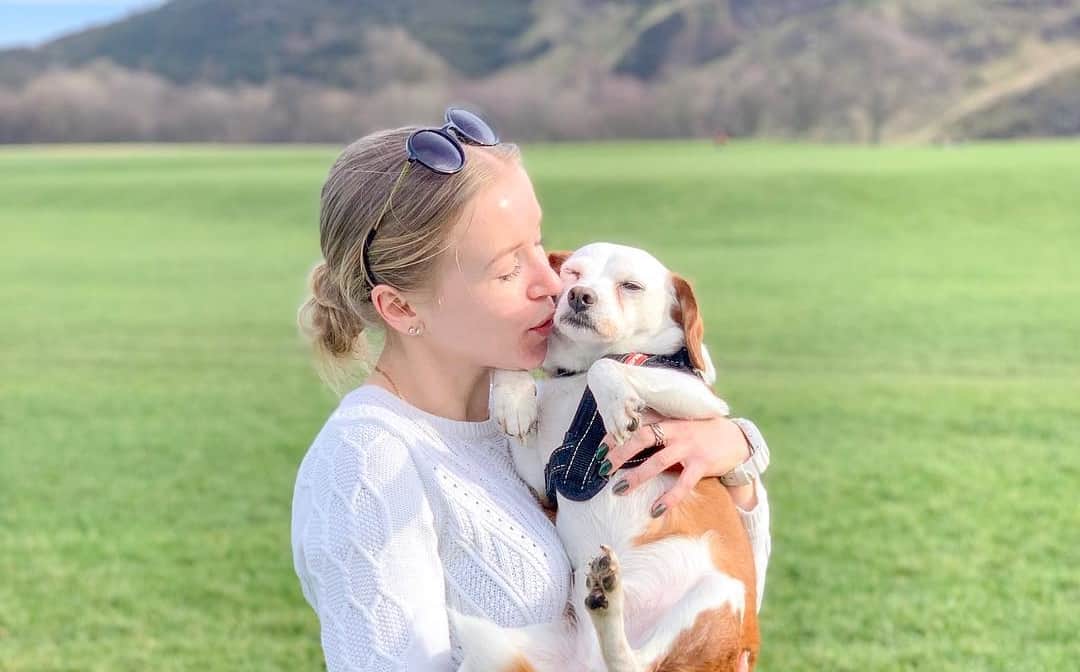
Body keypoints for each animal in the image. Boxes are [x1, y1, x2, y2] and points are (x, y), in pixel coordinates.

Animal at [453, 245, 760, 672]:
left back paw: (608, 598)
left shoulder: (700, 399)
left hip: (720, 591)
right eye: (571, 273)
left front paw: (616, 403)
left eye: (630, 286)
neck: (576, 376)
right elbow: (512, 366)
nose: (579, 295)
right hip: (500, 648)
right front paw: (513, 400)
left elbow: (608, 365)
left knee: (634, 664)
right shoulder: (539, 473)